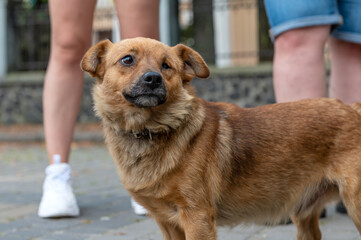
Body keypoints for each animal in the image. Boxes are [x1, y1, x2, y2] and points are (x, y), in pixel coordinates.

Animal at [81, 38, 360, 240]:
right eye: (127, 60)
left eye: (166, 66)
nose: (153, 79)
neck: (151, 128)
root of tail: (352, 109)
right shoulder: (167, 223)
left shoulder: (197, 218)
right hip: (304, 216)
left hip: (355, 204)